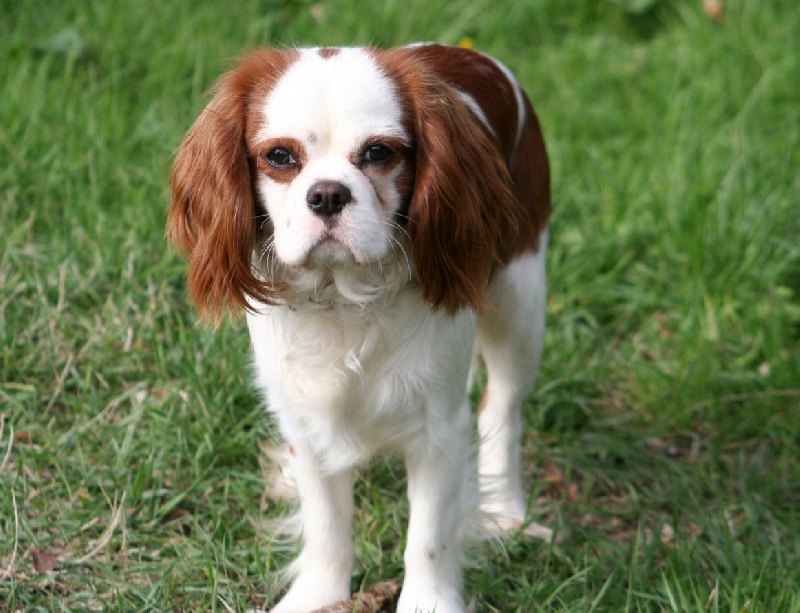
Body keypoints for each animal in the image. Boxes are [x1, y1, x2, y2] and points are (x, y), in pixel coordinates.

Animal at [169, 44, 552, 612]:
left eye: (377, 153)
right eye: (279, 157)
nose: (327, 194)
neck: (342, 299)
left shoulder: (440, 427)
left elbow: (430, 536)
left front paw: (428, 601)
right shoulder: (304, 418)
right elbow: (327, 524)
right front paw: (319, 595)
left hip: (521, 300)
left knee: (503, 404)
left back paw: (505, 509)